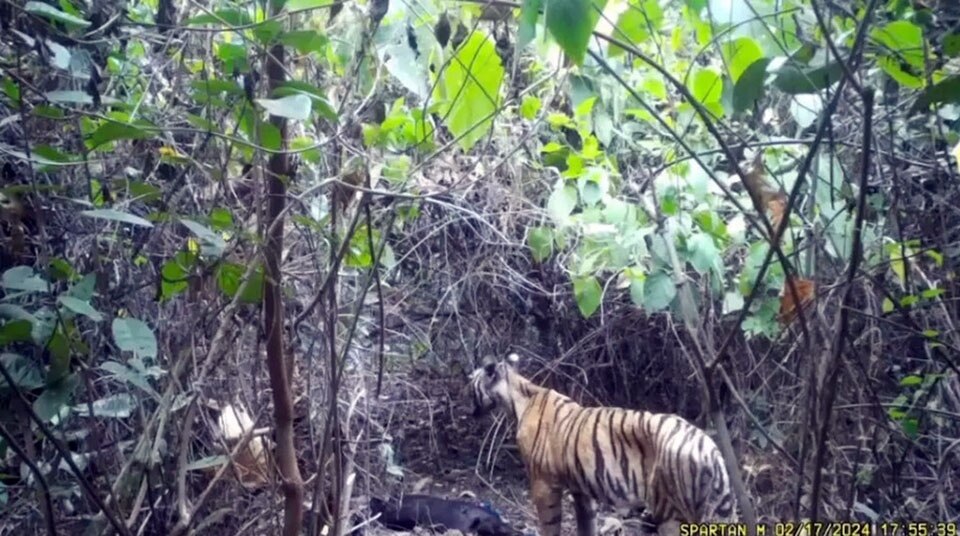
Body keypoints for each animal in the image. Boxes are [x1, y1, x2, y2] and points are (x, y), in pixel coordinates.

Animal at [468, 354, 740, 532]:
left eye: (472, 385)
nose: (469, 409)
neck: (518, 398)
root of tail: (710, 448)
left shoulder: (543, 484)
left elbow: (549, 526)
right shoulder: (580, 490)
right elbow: (586, 525)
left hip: (671, 511)